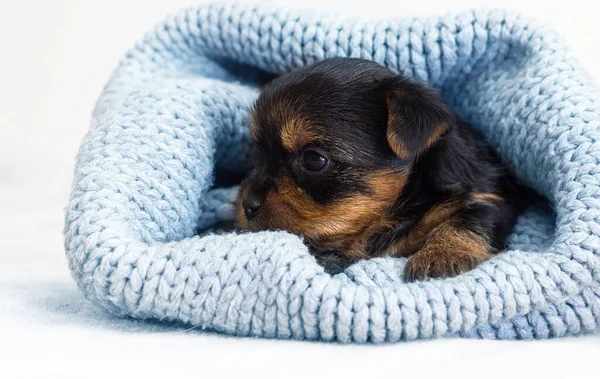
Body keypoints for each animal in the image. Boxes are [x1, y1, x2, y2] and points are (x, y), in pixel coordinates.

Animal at [237, 57, 528, 282]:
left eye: (314, 160)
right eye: (257, 154)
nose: (247, 205)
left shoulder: (489, 195)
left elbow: (470, 218)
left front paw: (443, 254)